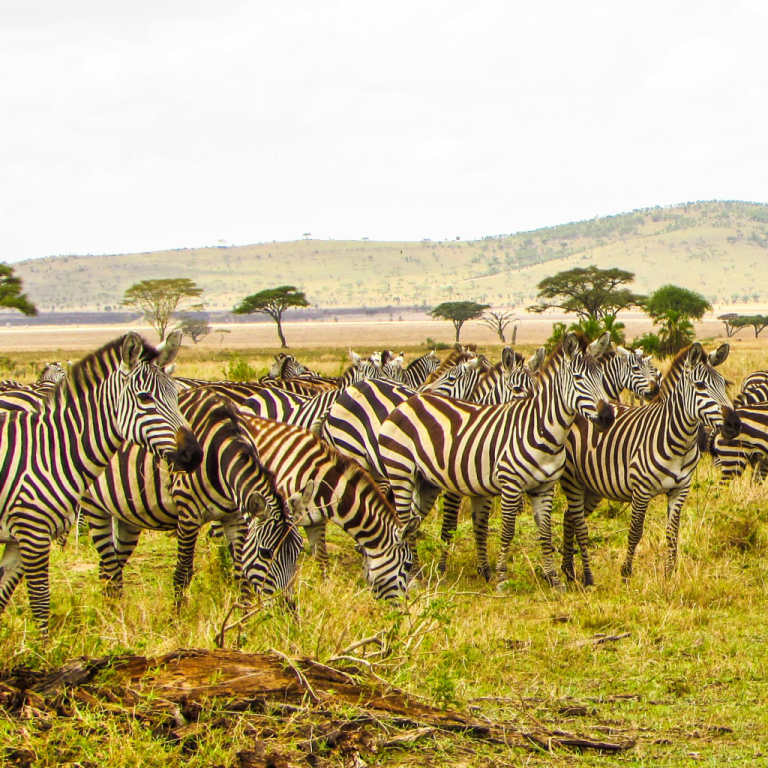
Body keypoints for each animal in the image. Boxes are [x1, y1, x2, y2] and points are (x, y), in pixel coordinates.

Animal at [0, 332, 204, 632]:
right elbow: (40, 602)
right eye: (144, 398)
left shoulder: (18, 539)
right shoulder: (32, 533)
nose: (194, 454)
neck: (51, 450)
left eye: (177, 395)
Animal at [76, 392, 308, 604]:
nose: (287, 608)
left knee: (110, 567)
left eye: (297, 552)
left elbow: (241, 572)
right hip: (94, 507)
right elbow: (183, 573)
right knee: (109, 570)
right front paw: (176, 619)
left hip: (127, 516)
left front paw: (243, 618)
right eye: (266, 552)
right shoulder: (188, 514)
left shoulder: (234, 516)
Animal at [238, 414, 420, 600]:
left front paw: (322, 594)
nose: (403, 603)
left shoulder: (314, 521)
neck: (322, 484)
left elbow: (321, 558)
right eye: (407, 565)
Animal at [378, 332, 612, 588]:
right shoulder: (509, 485)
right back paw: (412, 577)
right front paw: (501, 579)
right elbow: (506, 530)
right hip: (400, 472)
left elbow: (545, 532)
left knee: (413, 519)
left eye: (602, 378)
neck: (541, 431)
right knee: (404, 519)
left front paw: (554, 581)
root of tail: (411, 400)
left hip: (425, 481)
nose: (608, 416)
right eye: (578, 378)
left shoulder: (544, 487)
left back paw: (416, 571)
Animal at [560, 340, 740, 584]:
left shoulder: (680, 490)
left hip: (593, 487)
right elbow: (636, 531)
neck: (679, 442)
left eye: (724, 384)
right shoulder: (641, 490)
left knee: (569, 516)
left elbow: (672, 533)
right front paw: (626, 573)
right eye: (700, 385)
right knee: (573, 517)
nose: (734, 424)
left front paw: (670, 573)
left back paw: (568, 570)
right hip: (573, 481)